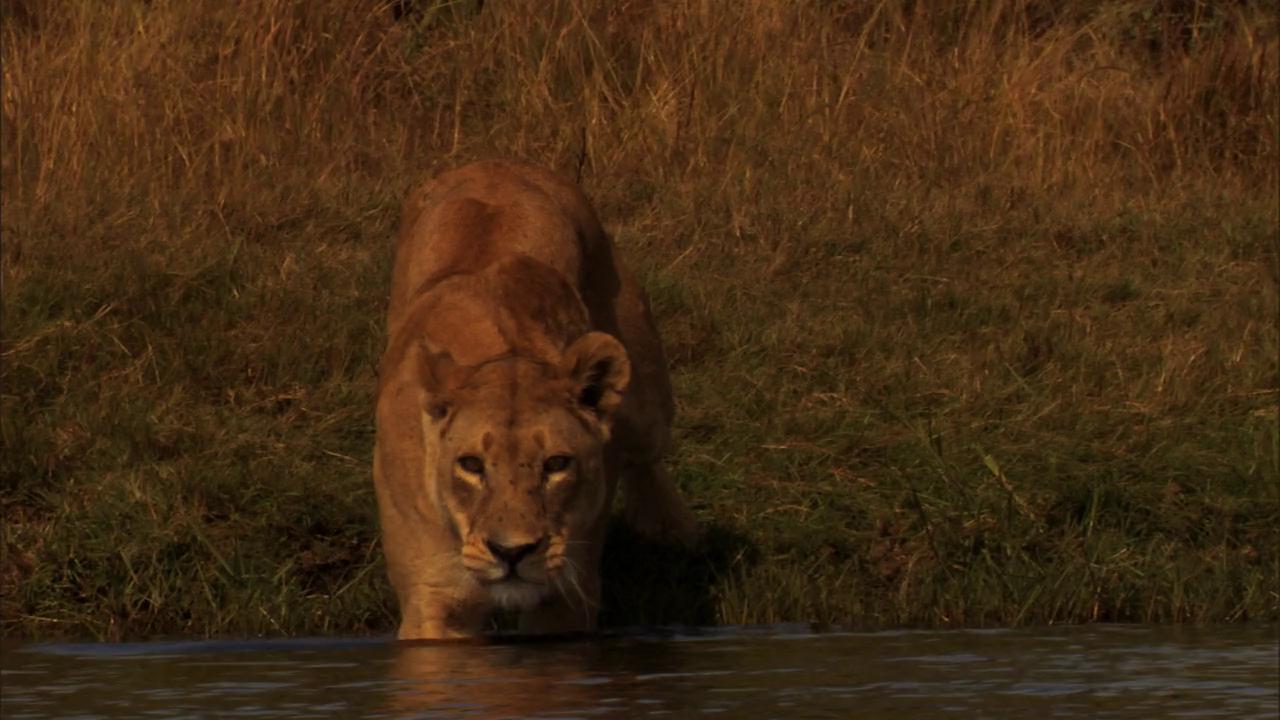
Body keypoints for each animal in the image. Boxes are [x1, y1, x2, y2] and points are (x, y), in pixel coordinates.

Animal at [373, 160, 698, 640]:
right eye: (471, 465)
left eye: (556, 464)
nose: (512, 552)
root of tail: (496, 162)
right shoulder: (434, 601)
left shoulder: (568, 592)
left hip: (643, 400)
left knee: (646, 455)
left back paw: (670, 527)